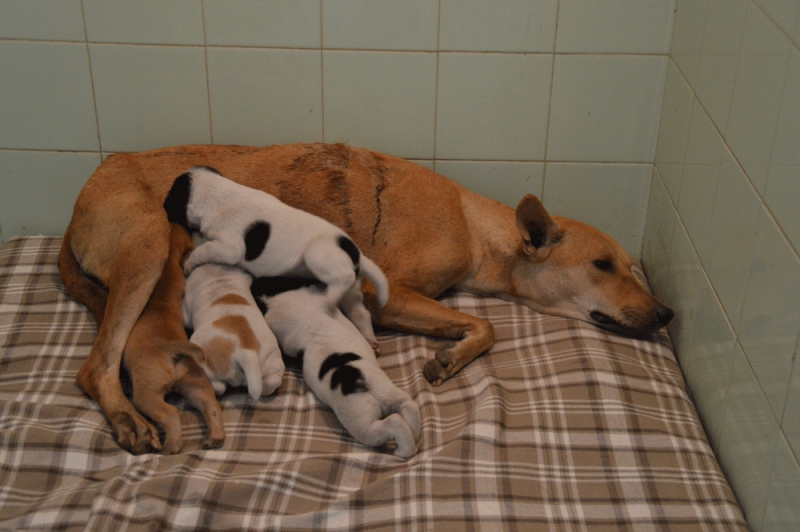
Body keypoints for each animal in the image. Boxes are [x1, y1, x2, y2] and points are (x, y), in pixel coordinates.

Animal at [121, 223, 225, 454]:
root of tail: (171, 349)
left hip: (146, 394)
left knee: (171, 414)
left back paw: (169, 447)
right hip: (195, 384)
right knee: (211, 405)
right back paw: (214, 437)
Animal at [183, 262, 284, 400]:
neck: (220, 277)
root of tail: (246, 351)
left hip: (201, 351)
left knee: (219, 386)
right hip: (273, 364)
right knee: (273, 381)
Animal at [252, 277, 421, 459]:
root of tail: (358, 379)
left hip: (362, 423)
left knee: (392, 423)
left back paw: (403, 451)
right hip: (387, 392)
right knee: (409, 406)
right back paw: (414, 437)